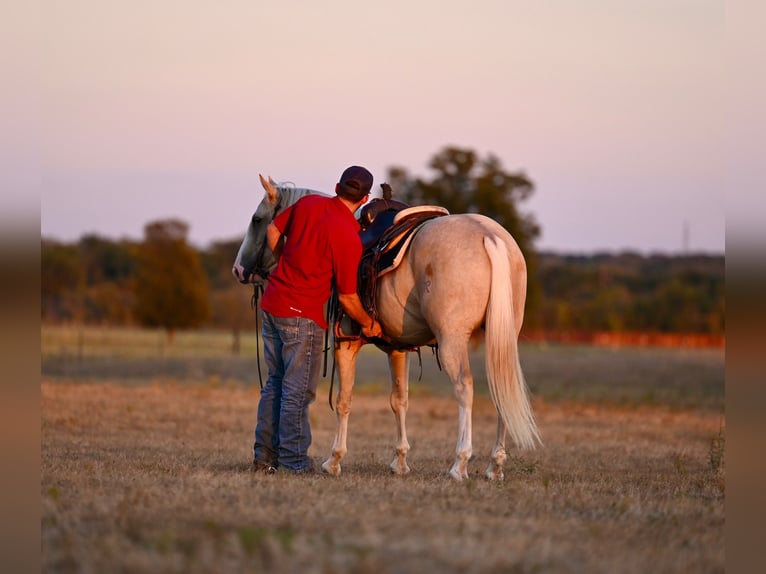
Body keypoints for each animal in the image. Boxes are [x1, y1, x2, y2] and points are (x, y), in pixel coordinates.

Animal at [234, 174, 540, 482]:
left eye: (257, 220)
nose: (238, 269)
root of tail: (489, 235)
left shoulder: (346, 343)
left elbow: (344, 400)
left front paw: (334, 460)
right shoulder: (398, 349)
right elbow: (399, 400)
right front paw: (400, 461)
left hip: (452, 341)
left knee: (464, 388)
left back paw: (460, 463)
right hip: (501, 340)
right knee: (501, 391)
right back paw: (494, 466)